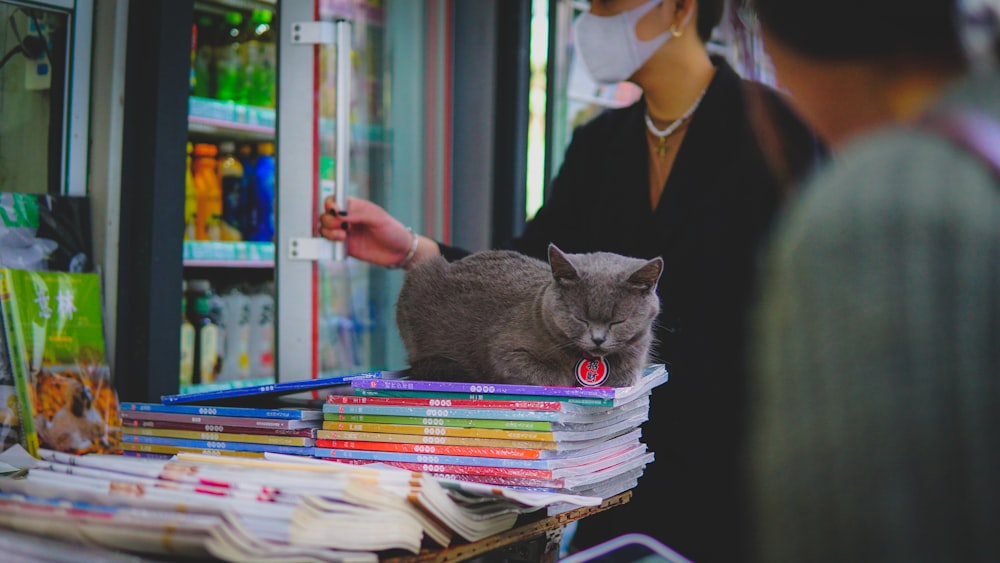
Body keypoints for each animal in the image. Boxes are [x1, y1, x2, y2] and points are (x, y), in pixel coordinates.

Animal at [396, 245, 664, 390]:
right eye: (579, 318)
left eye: (618, 321)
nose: (598, 339)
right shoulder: (503, 352)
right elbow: (549, 375)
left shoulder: (639, 351)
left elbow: (626, 375)